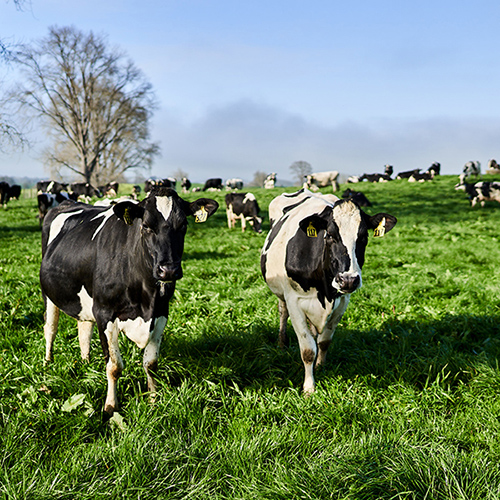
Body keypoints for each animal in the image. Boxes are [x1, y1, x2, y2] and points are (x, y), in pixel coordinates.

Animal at [39, 188, 219, 414]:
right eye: (146, 226)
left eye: (183, 225)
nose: (168, 270)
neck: (146, 298)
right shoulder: (104, 312)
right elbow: (114, 366)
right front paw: (110, 407)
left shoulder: (161, 313)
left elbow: (151, 364)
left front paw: (153, 399)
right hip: (49, 294)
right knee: (50, 328)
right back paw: (47, 363)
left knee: (84, 329)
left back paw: (85, 362)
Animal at [260, 188, 396, 394]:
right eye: (330, 235)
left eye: (363, 237)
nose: (348, 280)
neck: (324, 290)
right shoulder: (294, 300)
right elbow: (308, 350)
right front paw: (309, 388)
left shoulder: (342, 302)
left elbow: (324, 341)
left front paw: (320, 367)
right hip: (282, 294)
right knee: (282, 312)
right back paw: (282, 343)